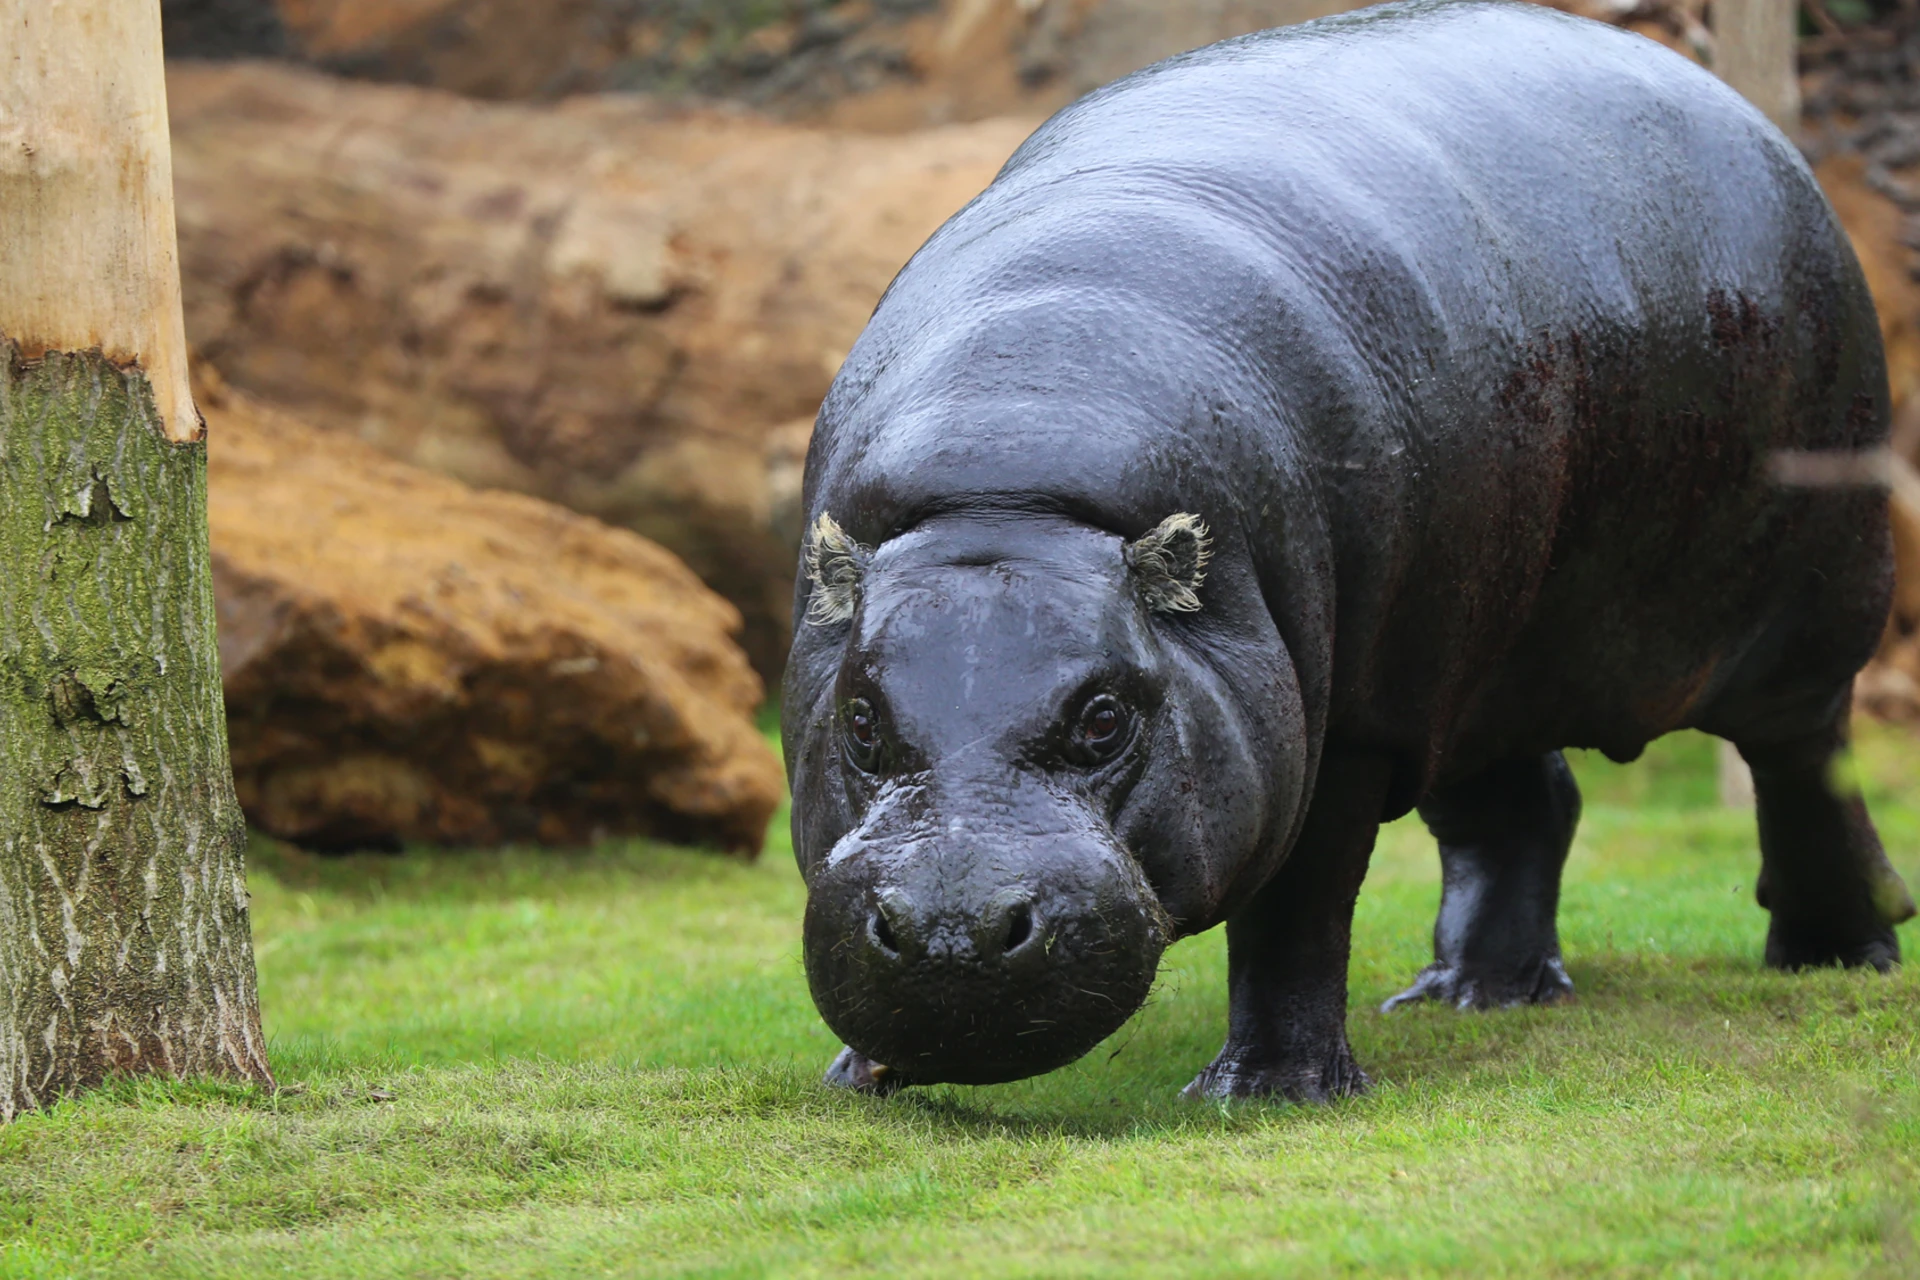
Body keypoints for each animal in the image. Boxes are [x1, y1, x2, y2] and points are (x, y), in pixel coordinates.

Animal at [781, 0, 1919, 1100]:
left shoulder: (1349, 732)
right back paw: (1468, 994)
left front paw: (1268, 1092)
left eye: (1105, 718)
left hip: (1797, 615)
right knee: (1523, 808)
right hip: (1476, 656)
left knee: (1806, 766)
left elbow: (1298, 911)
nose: (952, 930)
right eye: (861, 719)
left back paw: (1836, 955)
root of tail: (1754, 122)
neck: (1015, 467)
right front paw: (862, 1078)